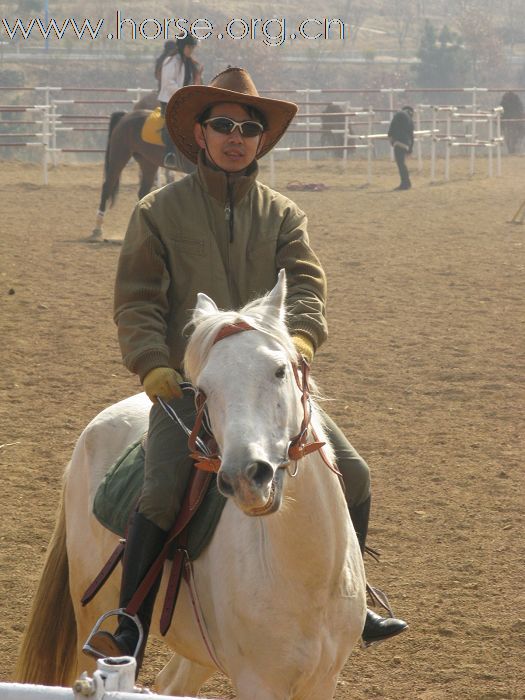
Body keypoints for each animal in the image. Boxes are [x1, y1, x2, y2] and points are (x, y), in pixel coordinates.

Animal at [18, 272, 366, 700]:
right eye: (203, 390)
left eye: (279, 371)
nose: (246, 476)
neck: (309, 578)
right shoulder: (258, 682)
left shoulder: (322, 681)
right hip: (92, 615)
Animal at [91, 108, 195, 238]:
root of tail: (126, 116)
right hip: (119, 156)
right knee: (107, 187)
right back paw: (97, 229)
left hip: (148, 163)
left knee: (143, 192)